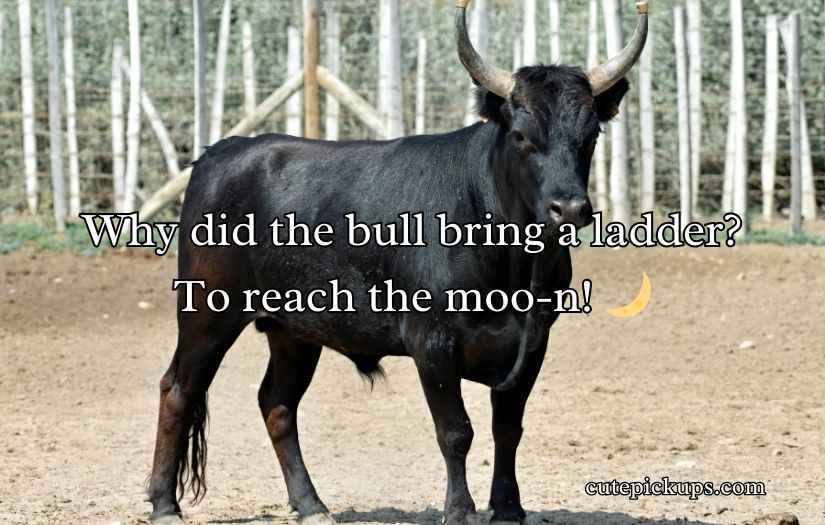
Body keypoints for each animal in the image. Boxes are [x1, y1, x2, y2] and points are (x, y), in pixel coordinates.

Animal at [146, 1, 648, 523]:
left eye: (590, 136)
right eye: (521, 135)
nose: (568, 209)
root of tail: (224, 150)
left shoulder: (533, 343)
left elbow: (507, 429)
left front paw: (508, 508)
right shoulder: (433, 342)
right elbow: (456, 431)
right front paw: (459, 509)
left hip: (294, 330)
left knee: (277, 404)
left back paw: (311, 505)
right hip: (207, 312)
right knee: (178, 389)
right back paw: (164, 503)